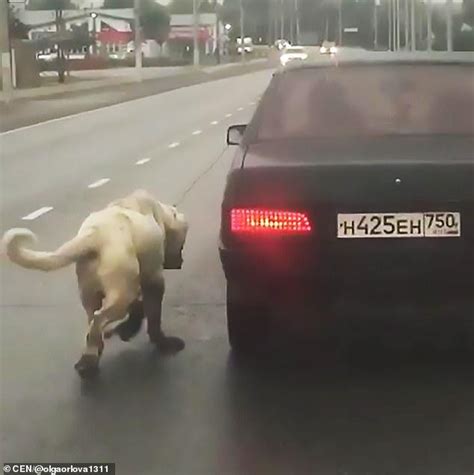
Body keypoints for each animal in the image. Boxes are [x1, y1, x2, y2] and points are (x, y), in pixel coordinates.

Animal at [3, 190, 189, 380]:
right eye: (181, 245)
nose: (180, 262)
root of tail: (93, 236)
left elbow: (139, 307)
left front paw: (128, 329)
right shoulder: (153, 279)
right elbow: (152, 315)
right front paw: (160, 341)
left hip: (90, 290)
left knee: (93, 318)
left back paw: (91, 354)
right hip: (121, 291)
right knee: (99, 319)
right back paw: (90, 359)